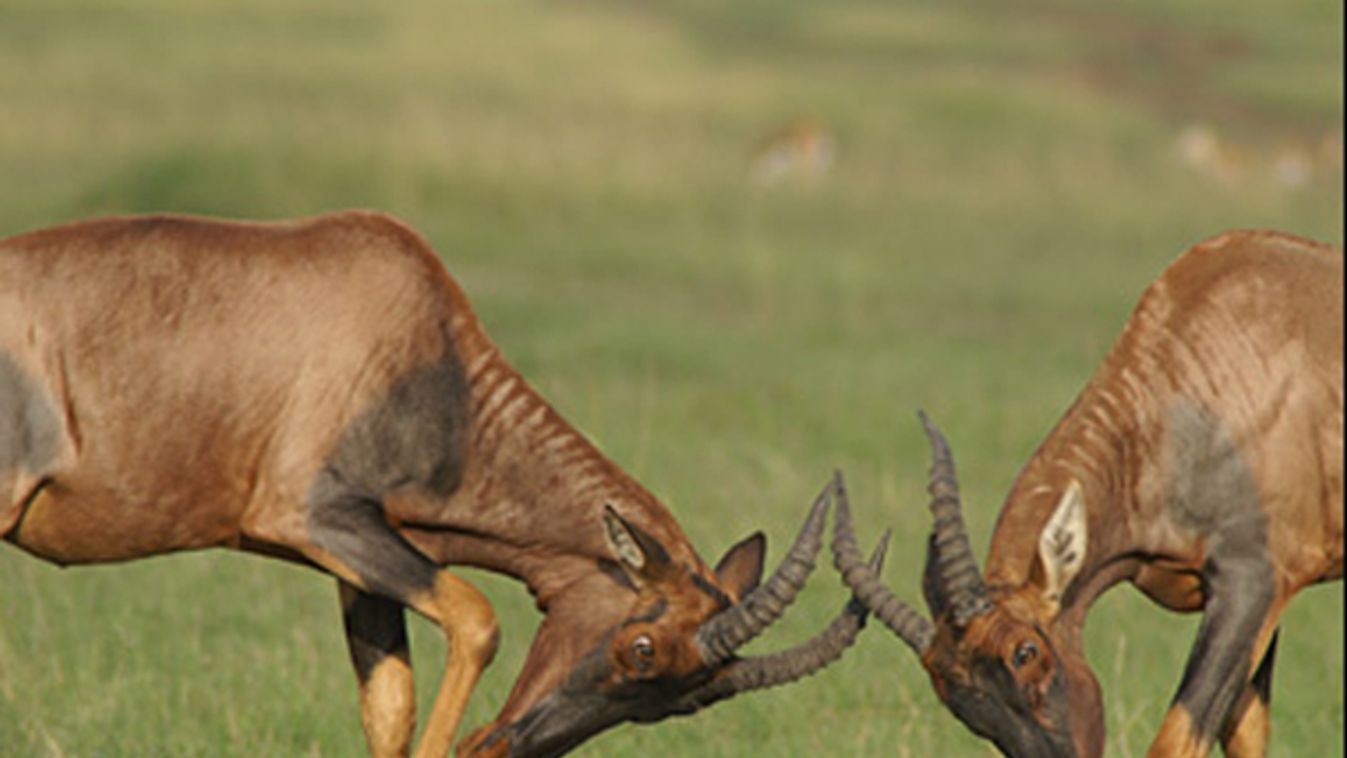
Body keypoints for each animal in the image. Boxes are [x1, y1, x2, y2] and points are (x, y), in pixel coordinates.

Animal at [0, 210, 878, 758]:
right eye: (639, 647)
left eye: (689, 700)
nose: (497, 746)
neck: (423, 348)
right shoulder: (312, 517)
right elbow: (479, 619)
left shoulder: (358, 565)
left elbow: (389, 708)